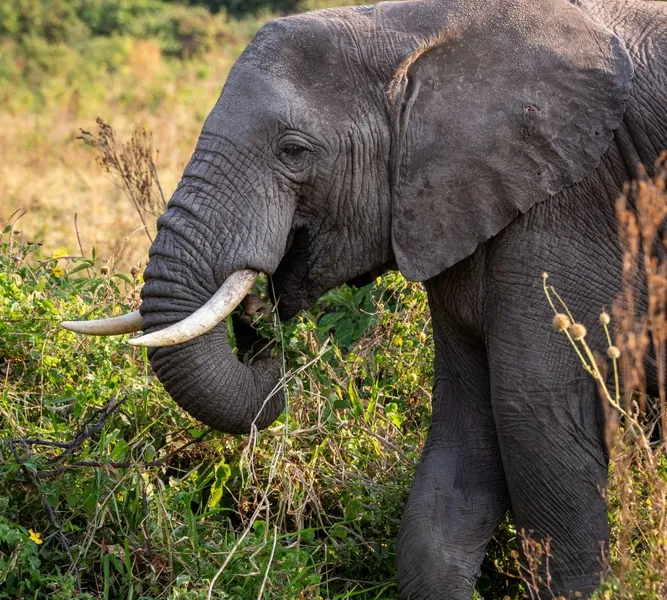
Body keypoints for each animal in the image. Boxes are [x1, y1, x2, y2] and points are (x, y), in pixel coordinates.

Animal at [62, 0, 667, 597]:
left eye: (293, 151)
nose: (259, 308)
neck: (415, 28)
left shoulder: (578, 204)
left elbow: (536, 422)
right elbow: (461, 443)